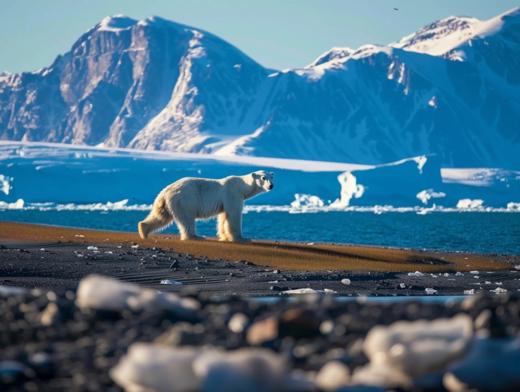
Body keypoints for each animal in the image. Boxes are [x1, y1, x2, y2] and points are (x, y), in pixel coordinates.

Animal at [138, 171, 276, 242]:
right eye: (263, 177)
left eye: (272, 177)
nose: (271, 186)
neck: (242, 186)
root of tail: (165, 191)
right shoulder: (233, 194)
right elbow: (234, 215)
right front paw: (241, 238)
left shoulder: (225, 201)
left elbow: (223, 217)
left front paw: (224, 236)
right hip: (185, 200)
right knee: (187, 219)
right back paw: (196, 236)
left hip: (166, 203)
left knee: (160, 217)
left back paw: (143, 231)